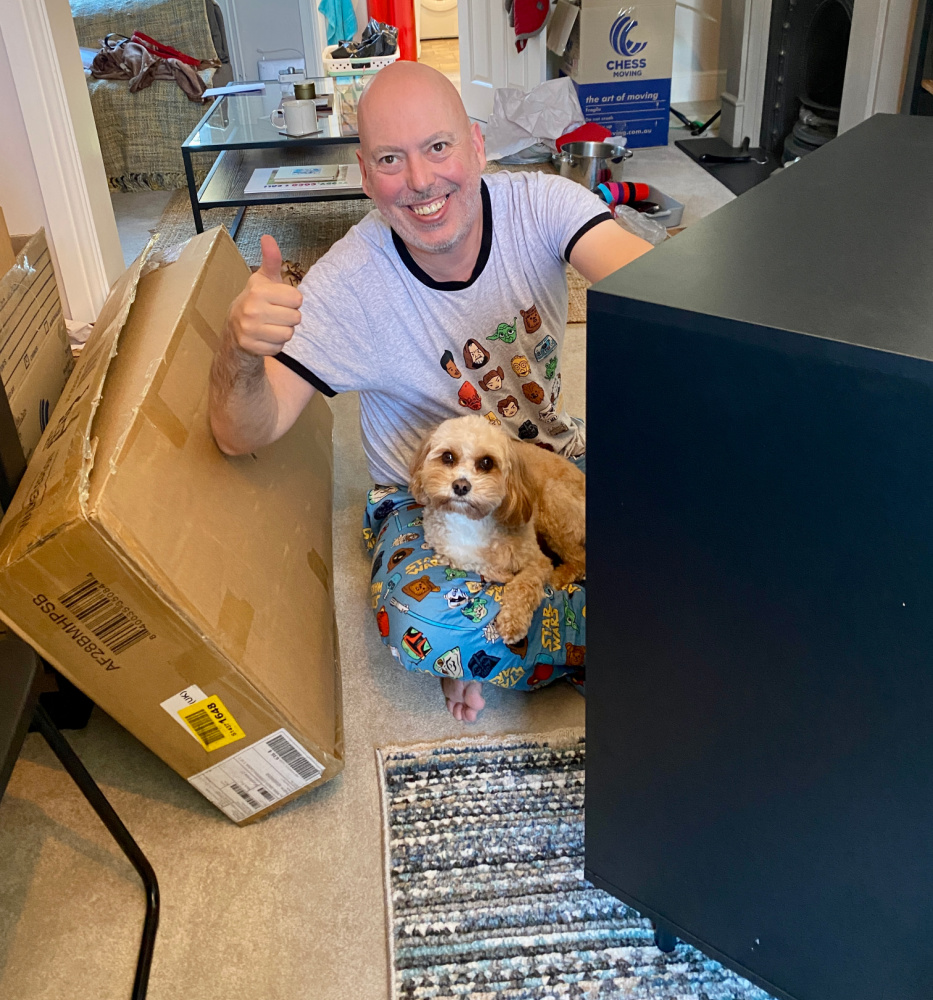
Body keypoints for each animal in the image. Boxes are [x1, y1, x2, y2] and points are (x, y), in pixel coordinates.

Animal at [408, 416, 584, 644]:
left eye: (486, 463)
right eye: (448, 457)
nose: (461, 486)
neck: (470, 520)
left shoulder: (537, 562)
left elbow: (523, 586)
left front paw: (513, 622)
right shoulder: (447, 549)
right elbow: (472, 562)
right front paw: (501, 574)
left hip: (554, 503)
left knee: (579, 559)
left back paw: (558, 577)